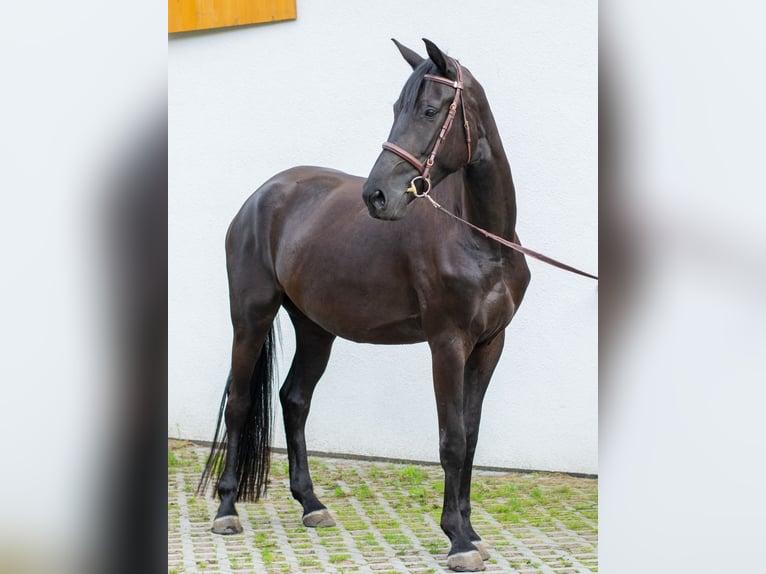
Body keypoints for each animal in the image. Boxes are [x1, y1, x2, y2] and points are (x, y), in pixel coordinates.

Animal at [201, 38, 532, 572]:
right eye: (396, 108)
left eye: (429, 110)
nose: (376, 196)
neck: (482, 238)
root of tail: (260, 197)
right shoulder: (447, 344)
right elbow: (453, 439)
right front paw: (458, 540)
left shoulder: (489, 345)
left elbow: (472, 435)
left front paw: (472, 532)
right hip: (250, 318)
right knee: (240, 402)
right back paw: (227, 510)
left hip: (316, 328)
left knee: (294, 399)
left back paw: (311, 505)